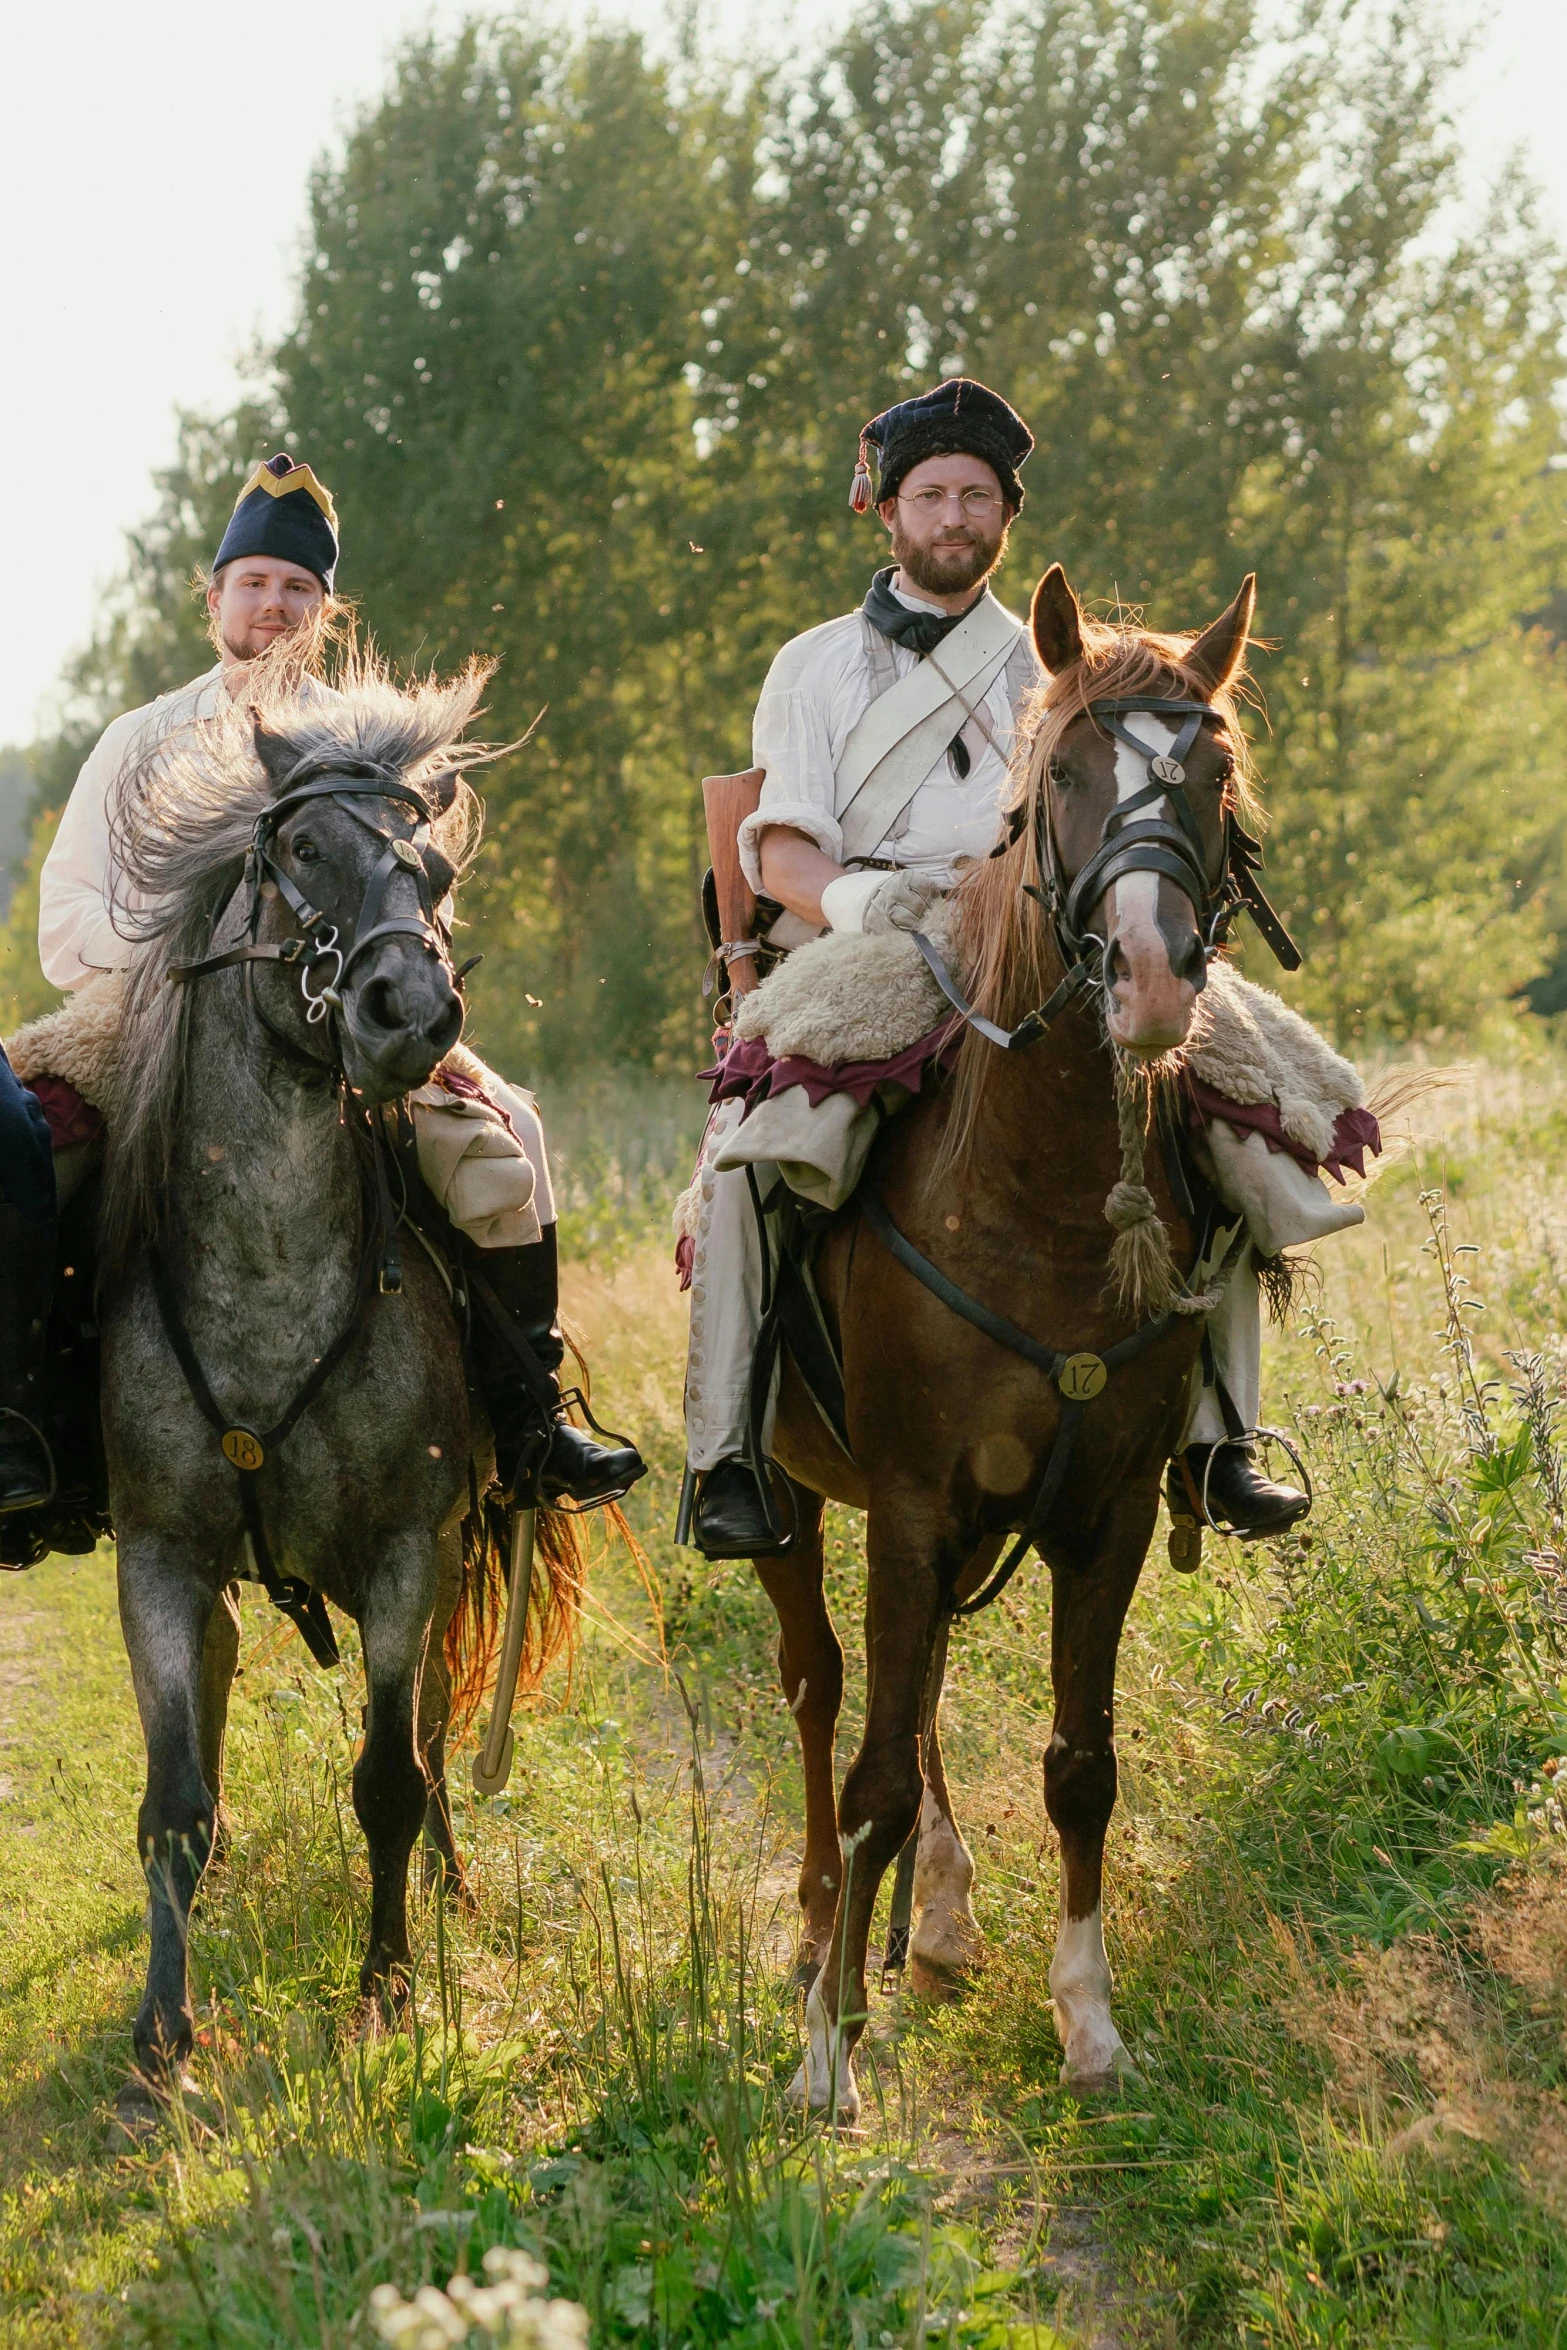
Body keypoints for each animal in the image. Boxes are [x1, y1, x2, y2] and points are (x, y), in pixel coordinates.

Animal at [98, 653, 563, 2105]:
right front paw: (161, 2040)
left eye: (435, 870)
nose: (410, 1012)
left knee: (429, 1738)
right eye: (301, 851)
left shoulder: (413, 1550)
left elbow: (389, 1777)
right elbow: (174, 1804)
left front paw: (388, 1987)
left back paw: (451, 1891)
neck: (267, 1281)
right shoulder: (160, 1560)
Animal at [756, 564, 1259, 2115]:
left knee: (910, 1710)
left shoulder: (1100, 1513)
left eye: (1211, 773)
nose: (1152, 978)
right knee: (823, 1695)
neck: (1036, 1201)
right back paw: (823, 1931)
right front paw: (826, 2056)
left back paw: (933, 1918)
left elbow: (1078, 1761)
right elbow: (866, 1765)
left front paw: (1086, 2020)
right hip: (794, 1502)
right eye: (1064, 781)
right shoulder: (910, 1503)